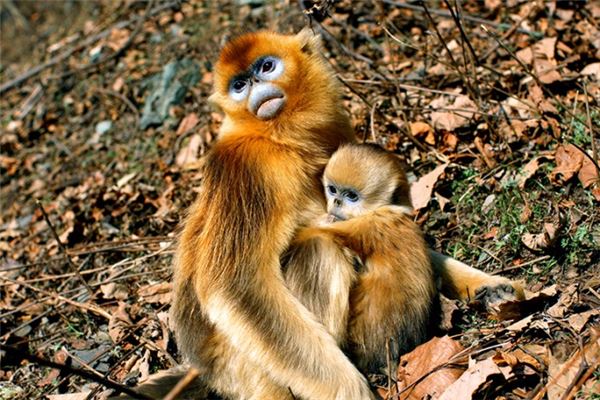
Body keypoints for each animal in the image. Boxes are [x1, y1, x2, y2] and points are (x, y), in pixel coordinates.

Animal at [284, 143, 434, 372]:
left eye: (352, 196)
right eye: (333, 190)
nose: (336, 201)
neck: (388, 209)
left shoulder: (369, 223)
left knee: (319, 244)